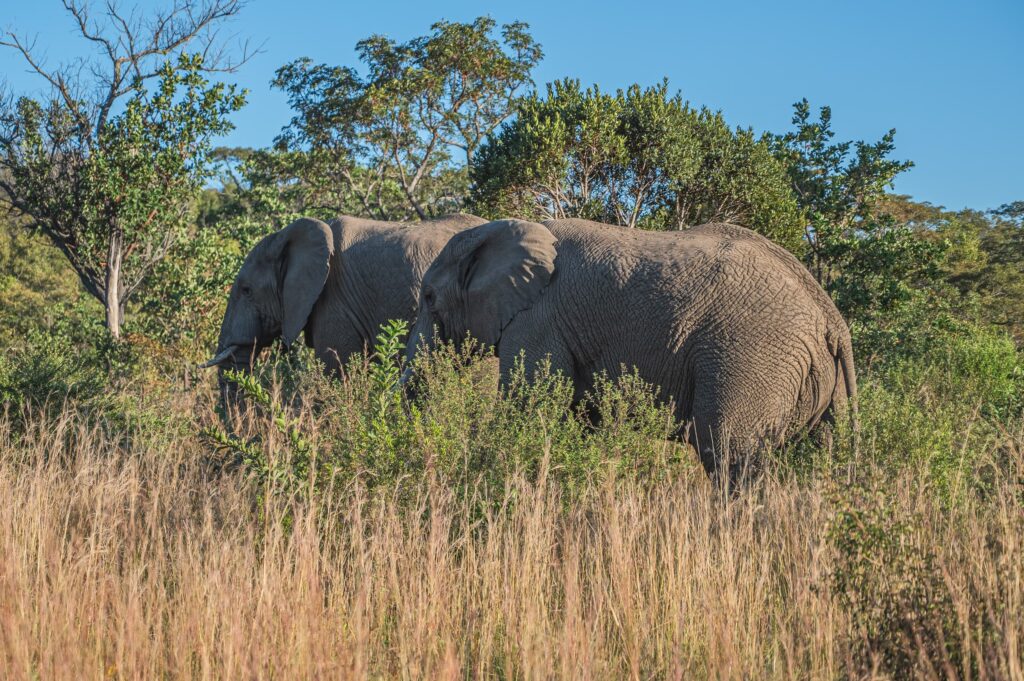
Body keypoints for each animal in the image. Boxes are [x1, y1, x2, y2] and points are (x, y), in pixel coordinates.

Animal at [403, 218, 860, 483]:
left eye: (428, 297)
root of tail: (831, 318)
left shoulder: (537, 322)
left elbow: (531, 409)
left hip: (752, 355)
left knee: (729, 454)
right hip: (816, 378)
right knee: (817, 457)